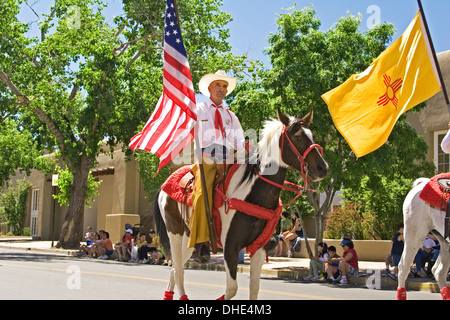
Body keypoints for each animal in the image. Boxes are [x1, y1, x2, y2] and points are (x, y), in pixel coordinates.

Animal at [154, 110, 326, 300]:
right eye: (297, 137)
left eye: (313, 136)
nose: (323, 168)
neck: (253, 192)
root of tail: (165, 185)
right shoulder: (230, 247)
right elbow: (231, 289)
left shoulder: (260, 248)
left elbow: (254, 287)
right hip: (174, 234)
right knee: (178, 270)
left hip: (188, 238)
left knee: (175, 269)